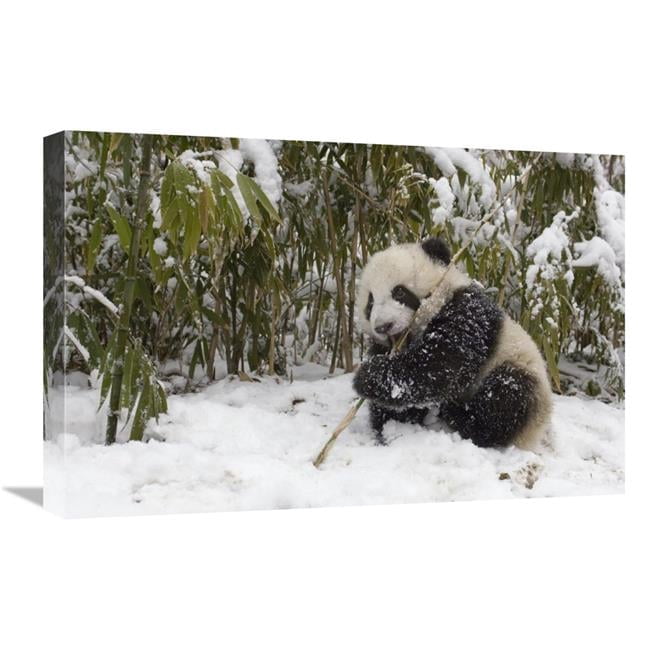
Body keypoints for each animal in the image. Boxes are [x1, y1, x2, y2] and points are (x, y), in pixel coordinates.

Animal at [353, 237, 553, 450]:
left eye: (399, 292)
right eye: (370, 303)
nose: (383, 326)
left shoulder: (467, 314)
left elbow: (440, 367)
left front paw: (366, 376)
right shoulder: (384, 346)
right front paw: (392, 428)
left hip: (523, 373)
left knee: (507, 397)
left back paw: (460, 416)